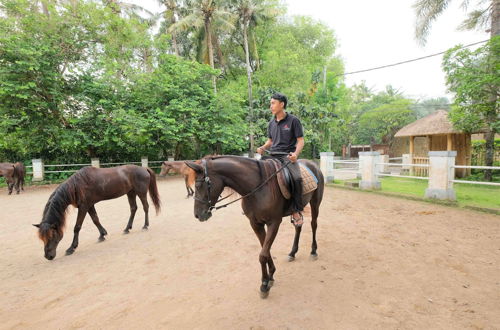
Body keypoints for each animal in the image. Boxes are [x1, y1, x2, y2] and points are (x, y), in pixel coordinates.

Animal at [33, 165, 161, 260]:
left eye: (52, 235)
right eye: (42, 238)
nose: (48, 256)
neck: (77, 186)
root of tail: (144, 168)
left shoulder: (84, 207)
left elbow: (77, 227)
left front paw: (71, 248)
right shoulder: (89, 206)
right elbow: (95, 219)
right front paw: (102, 235)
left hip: (141, 192)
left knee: (145, 207)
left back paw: (145, 226)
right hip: (131, 193)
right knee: (133, 208)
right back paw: (127, 228)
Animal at [187, 155, 324, 300]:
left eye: (198, 185)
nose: (197, 215)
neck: (256, 188)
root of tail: (312, 164)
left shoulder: (274, 223)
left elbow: (263, 254)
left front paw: (264, 285)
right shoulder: (255, 224)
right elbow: (265, 250)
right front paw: (270, 277)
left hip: (315, 203)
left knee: (314, 224)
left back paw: (313, 251)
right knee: (298, 226)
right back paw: (292, 253)